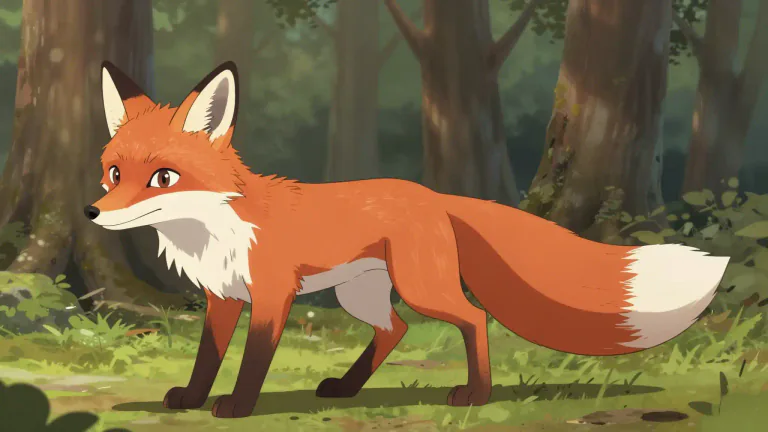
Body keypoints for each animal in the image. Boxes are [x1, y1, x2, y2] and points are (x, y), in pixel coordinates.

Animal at [86, 61, 730, 418]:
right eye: (114, 173)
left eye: (163, 178)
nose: (91, 211)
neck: (211, 230)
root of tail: (434, 195)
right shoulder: (223, 298)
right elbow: (207, 360)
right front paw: (193, 400)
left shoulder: (271, 297)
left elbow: (252, 362)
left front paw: (239, 407)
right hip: (362, 295)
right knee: (394, 330)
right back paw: (346, 388)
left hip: (421, 287)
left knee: (472, 318)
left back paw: (474, 396)